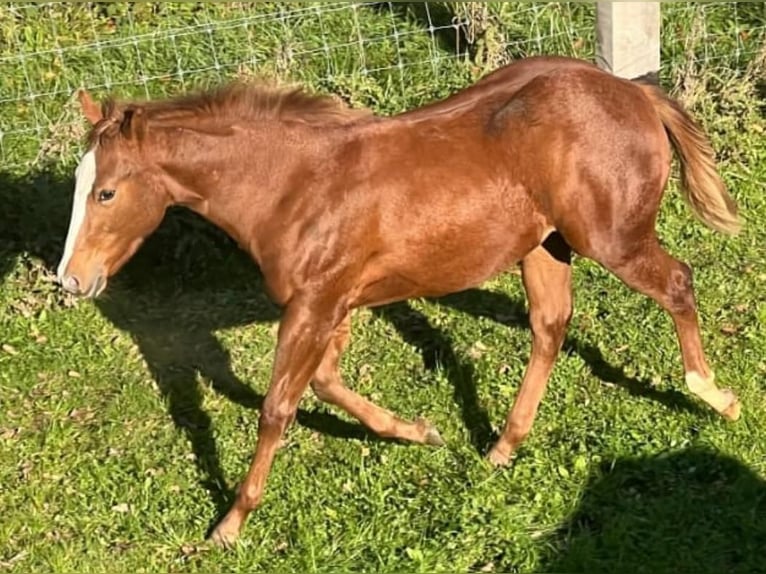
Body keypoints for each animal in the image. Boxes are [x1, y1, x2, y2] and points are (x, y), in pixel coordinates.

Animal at [55, 55, 742, 546]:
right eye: (80, 186)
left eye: (107, 193)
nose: (71, 280)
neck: (293, 187)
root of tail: (635, 94)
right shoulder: (333, 303)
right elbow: (327, 383)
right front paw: (420, 433)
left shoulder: (314, 305)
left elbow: (276, 406)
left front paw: (231, 522)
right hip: (546, 245)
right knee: (550, 325)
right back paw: (501, 447)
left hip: (610, 239)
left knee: (678, 284)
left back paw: (715, 396)